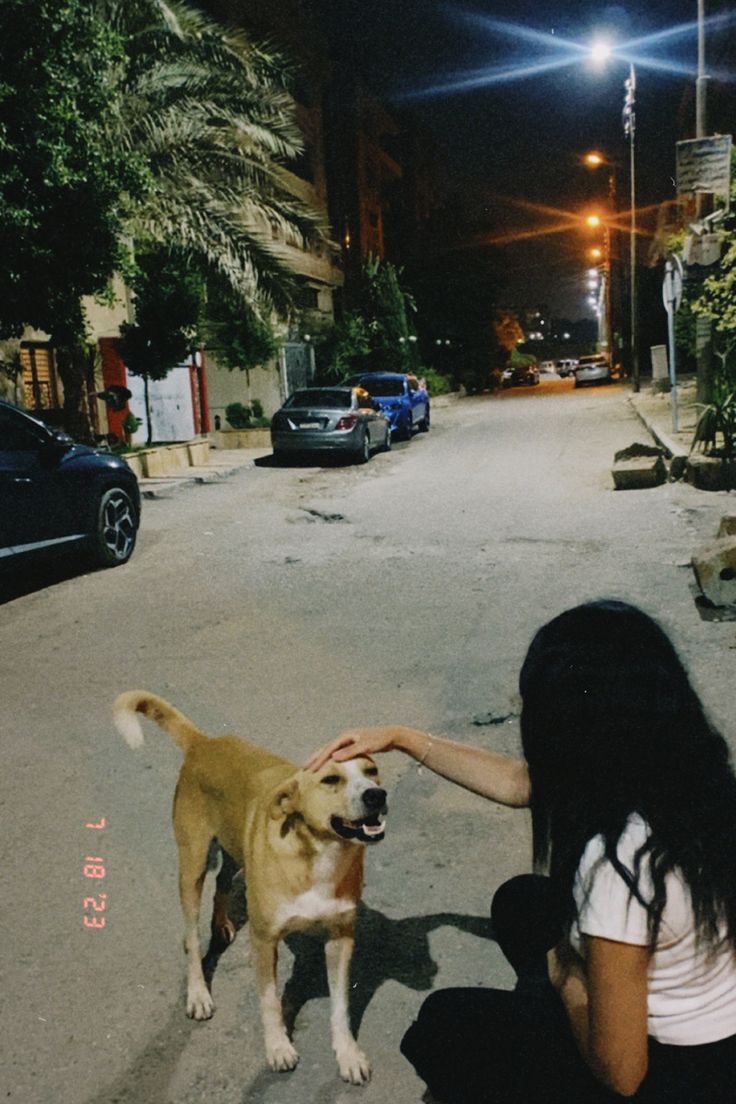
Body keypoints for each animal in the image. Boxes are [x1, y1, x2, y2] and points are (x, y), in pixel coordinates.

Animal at [112, 693, 388, 1081]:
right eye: (331, 779)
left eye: (371, 771)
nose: (377, 796)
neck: (318, 853)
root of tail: (205, 743)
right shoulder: (264, 939)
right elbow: (270, 1000)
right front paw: (278, 1047)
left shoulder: (341, 936)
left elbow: (340, 1006)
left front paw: (347, 1054)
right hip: (193, 864)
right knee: (190, 937)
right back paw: (198, 993)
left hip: (233, 848)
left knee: (223, 881)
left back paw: (221, 924)